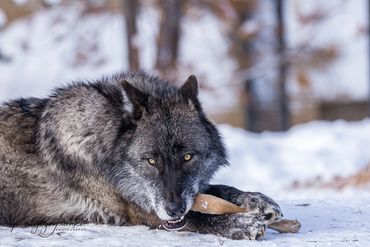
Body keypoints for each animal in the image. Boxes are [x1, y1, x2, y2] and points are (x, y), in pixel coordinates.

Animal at [0, 71, 282, 239]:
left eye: (187, 157)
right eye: (151, 160)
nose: (174, 210)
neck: (107, 139)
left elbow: (215, 192)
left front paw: (257, 199)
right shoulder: (139, 212)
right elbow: (200, 215)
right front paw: (241, 223)